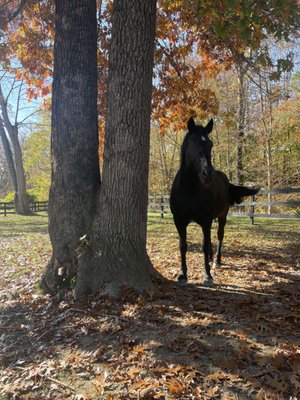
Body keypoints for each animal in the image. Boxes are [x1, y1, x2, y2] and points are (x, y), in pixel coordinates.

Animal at [170, 117, 258, 286]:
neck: (189, 189)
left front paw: (207, 275)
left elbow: (204, 245)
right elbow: (183, 246)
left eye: (210, 144)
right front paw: (182, 274)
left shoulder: (205, 221)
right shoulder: (179, 221)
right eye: (193, 142)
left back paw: (216, 260)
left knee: (219, 236)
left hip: (222, 217)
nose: (208, 174)